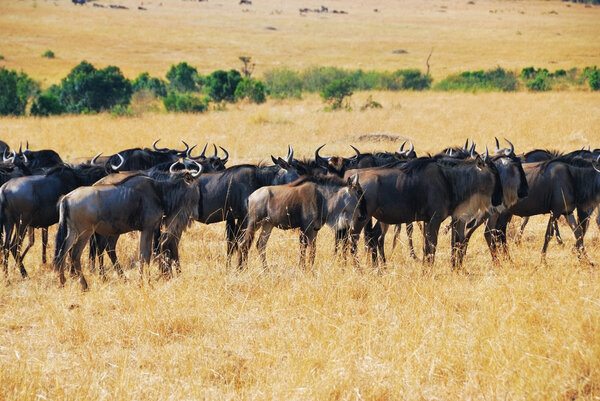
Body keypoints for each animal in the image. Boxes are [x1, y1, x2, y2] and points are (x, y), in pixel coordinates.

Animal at [54, 170, 199, 290]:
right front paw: (146, 282)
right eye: (196, 187)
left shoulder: (147, 229)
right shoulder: (148, 228)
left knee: (62, 252)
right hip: (85, 233)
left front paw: (143, 281)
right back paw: (84, 285)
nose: (195, 213)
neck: (159, 191)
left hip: (72, 232)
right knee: (74, 254)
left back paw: (62, 282)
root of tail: (67, 198)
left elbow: (144, 255)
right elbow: (146, 255)